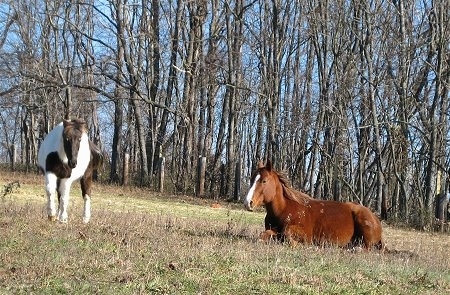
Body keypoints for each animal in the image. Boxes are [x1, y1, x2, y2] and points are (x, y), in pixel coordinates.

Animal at [244, 161, 384, 251]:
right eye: (251, 179)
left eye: (264, 181)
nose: (248, 202)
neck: (284, 209)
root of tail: (376, 219)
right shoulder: (273, 230)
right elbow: (264, 235)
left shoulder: (304, 232)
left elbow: (287, 233)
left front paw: (306, 245)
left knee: (366, 248)